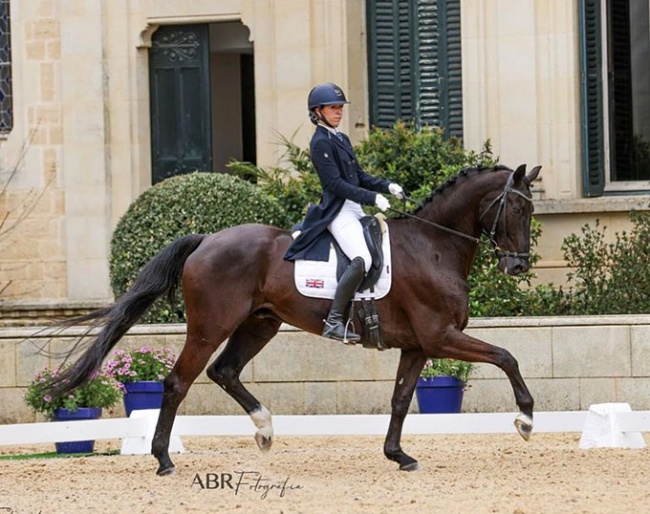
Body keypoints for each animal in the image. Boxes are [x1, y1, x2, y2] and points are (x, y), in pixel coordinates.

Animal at [48, 162, 540, 474]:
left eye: (532, 210)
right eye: (516, 209)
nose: (517, 267)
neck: (433, 245)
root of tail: (207, 239)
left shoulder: (419, 345)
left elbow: (401, 400)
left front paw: (398, 455)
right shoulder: (441, 336)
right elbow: (507, 356)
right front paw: (525, 420)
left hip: (260, 323)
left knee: (224, 371)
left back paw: (265, 430)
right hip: (210, 327)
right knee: (178, 382)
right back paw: (164, 460)